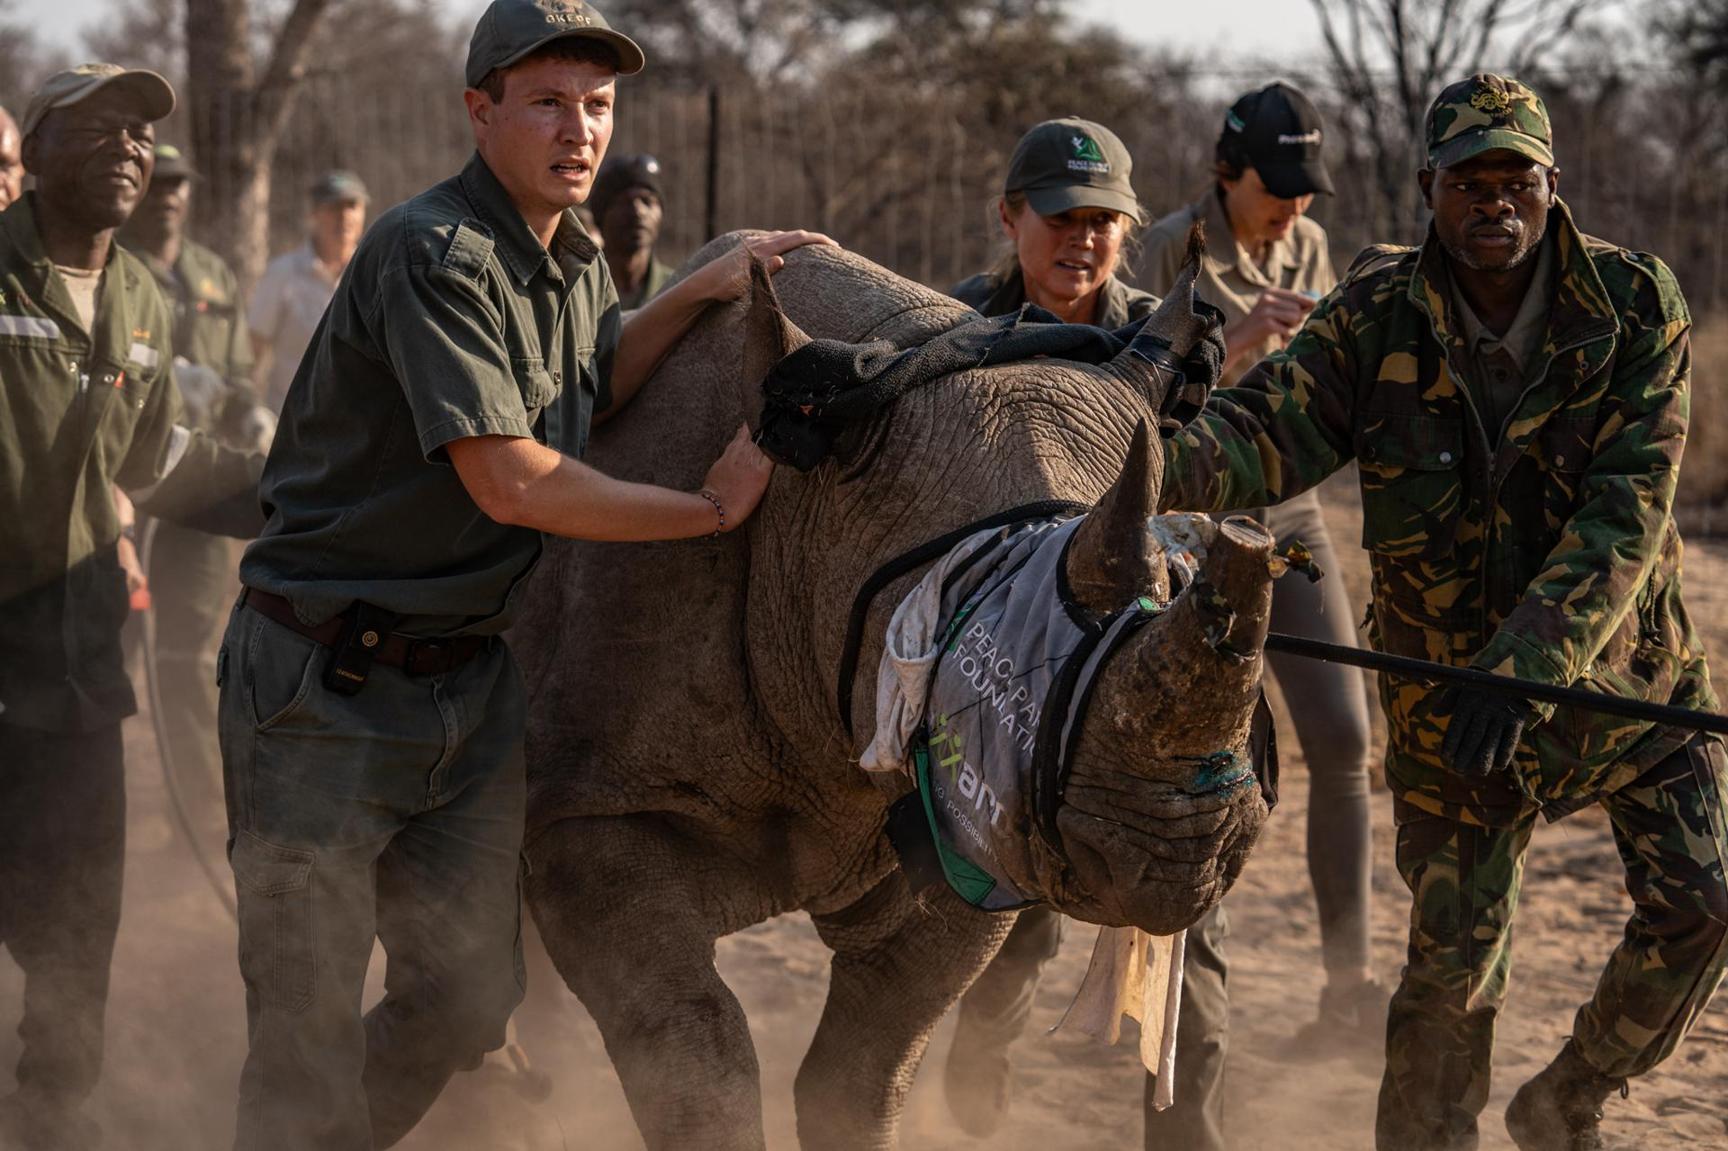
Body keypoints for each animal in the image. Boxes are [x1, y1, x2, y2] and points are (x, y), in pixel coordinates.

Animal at [511, 233, 1276, 1151]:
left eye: (1170, 586)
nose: (1194, 849)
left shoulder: (977, 811)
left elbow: (867, 1061)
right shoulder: (593, 802)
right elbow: (695, 1044)